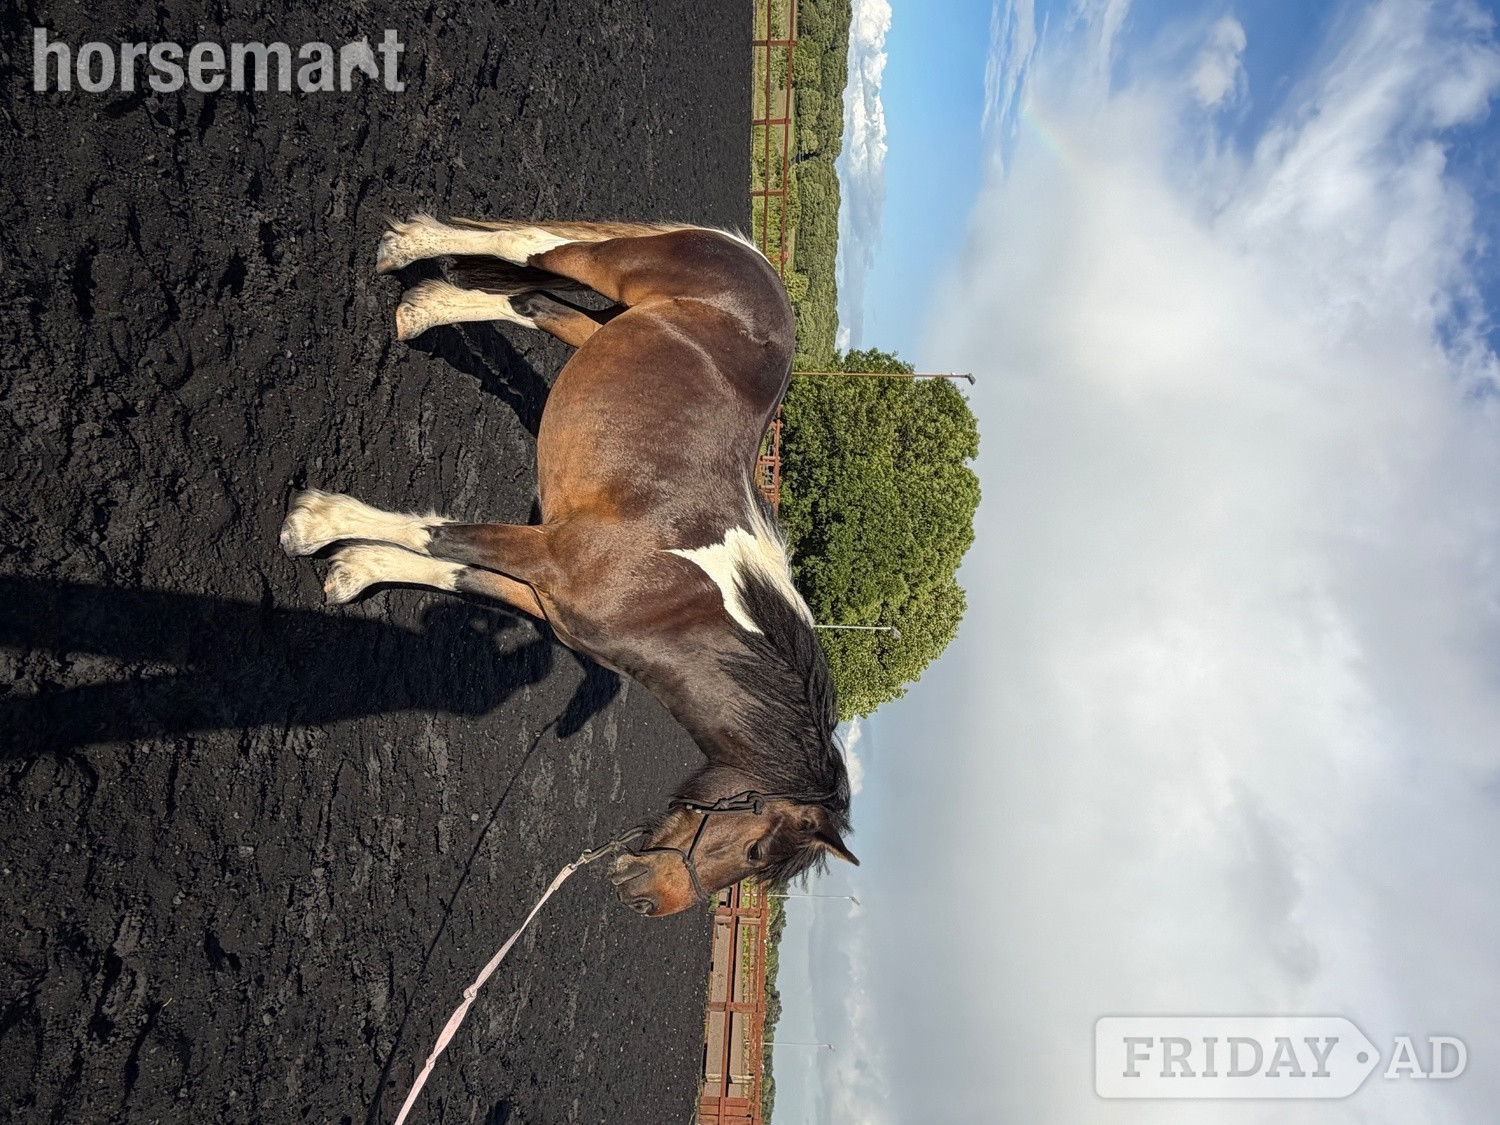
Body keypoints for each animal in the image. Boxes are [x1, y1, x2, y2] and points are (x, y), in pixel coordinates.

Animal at [279, 216, 857, 916]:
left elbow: (457, 573)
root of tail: (753, 260)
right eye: (755, 851)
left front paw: (355, 570)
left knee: (535, 303)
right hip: (608, 268)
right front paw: (315, 524)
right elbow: (443, 538)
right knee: (530, 247)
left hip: (605, 330)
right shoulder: (545, 551)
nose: (645, 900)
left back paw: (424, 310)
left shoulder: (546, 595)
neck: (673, 602)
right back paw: (408, 247)